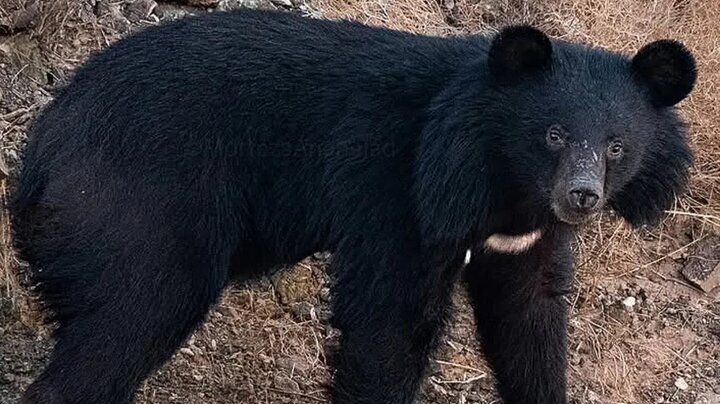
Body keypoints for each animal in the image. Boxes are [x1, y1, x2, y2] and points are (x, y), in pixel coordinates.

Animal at [11, 7, 696, 404]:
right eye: (553, 135)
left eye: (616, 146)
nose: (580, 197)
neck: (503, 188)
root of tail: (43, 144)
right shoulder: (398, 196)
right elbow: (388, 321)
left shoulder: (523, 241)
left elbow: (528, 322)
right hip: (141, 206)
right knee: (132, 314)